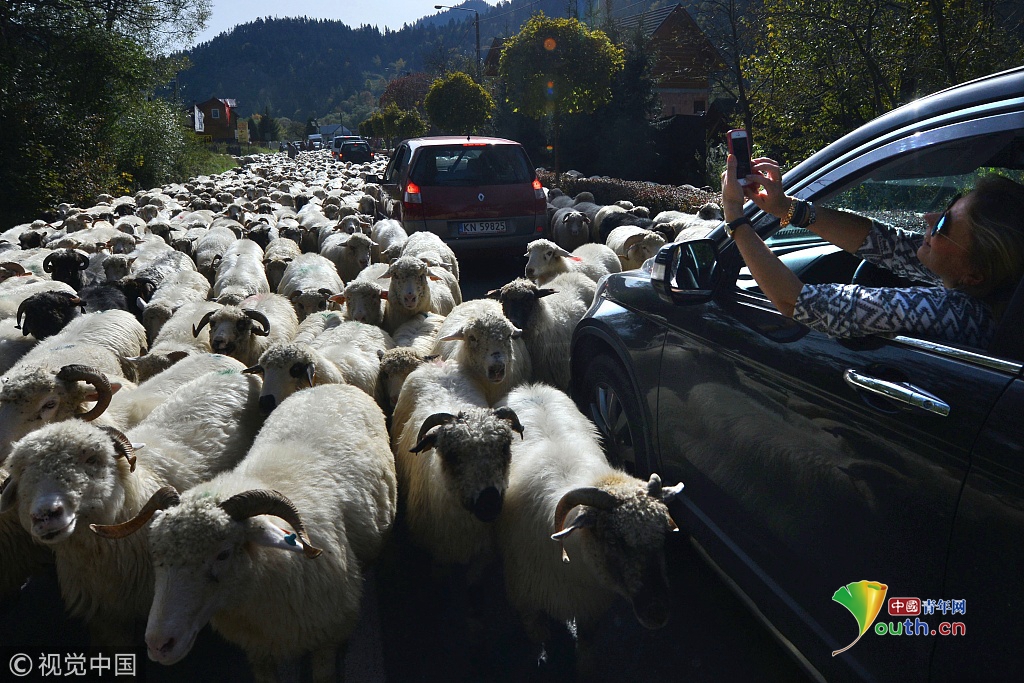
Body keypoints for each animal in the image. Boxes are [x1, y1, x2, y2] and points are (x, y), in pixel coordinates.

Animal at [91, 384, 396, 682]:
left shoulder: (327, 637)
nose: (159, 645)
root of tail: (330, 385)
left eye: (223, 554)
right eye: (156, 553)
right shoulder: (258, 650)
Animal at [496, 383, 684, 647]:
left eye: (663, 537)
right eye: (613, 540)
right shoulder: (527, 603)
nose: (657, 614)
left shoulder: (589, 611)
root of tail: (531, 387)